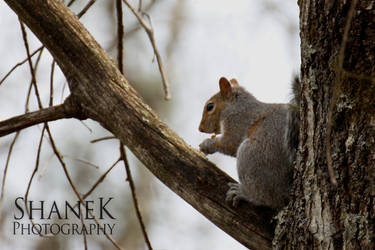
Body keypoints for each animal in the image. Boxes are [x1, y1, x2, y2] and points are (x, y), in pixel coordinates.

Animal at [198, 76, 302, 209]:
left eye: (210, 106)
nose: (200, 128)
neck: (235, 105)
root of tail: (286, 191)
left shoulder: (237, 121)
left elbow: (230, 143)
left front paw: (207, 145)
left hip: (250, 156)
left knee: (268, 199)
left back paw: (243, 194)